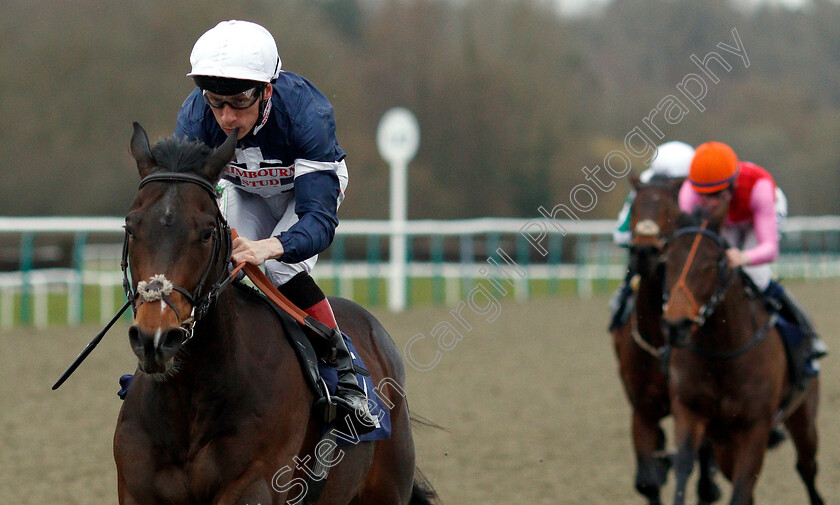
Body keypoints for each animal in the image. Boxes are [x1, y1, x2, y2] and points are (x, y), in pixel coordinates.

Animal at [114, 123, 436, 504]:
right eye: (130, 226)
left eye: (207, 233)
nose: (156, 338)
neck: (190, 397)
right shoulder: (137, 488)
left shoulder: (254, 483)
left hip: (387, 488)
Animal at [608, 175, 720, 502]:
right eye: (634, 209)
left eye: (669, 211)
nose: (644, 253)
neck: (660, 339)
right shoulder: (643, 409)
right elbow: (648, 481)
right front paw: (660, 466)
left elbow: (704, 478)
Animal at [664, 207, 820, 502]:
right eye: (666, 260)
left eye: (711, 263)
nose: (676, 325)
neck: (721, 353)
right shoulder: (689, 410)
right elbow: (683, 467)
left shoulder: (755, 427)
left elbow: (742, 487)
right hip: (724, 444)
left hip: (803, 416)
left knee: (806, 467)